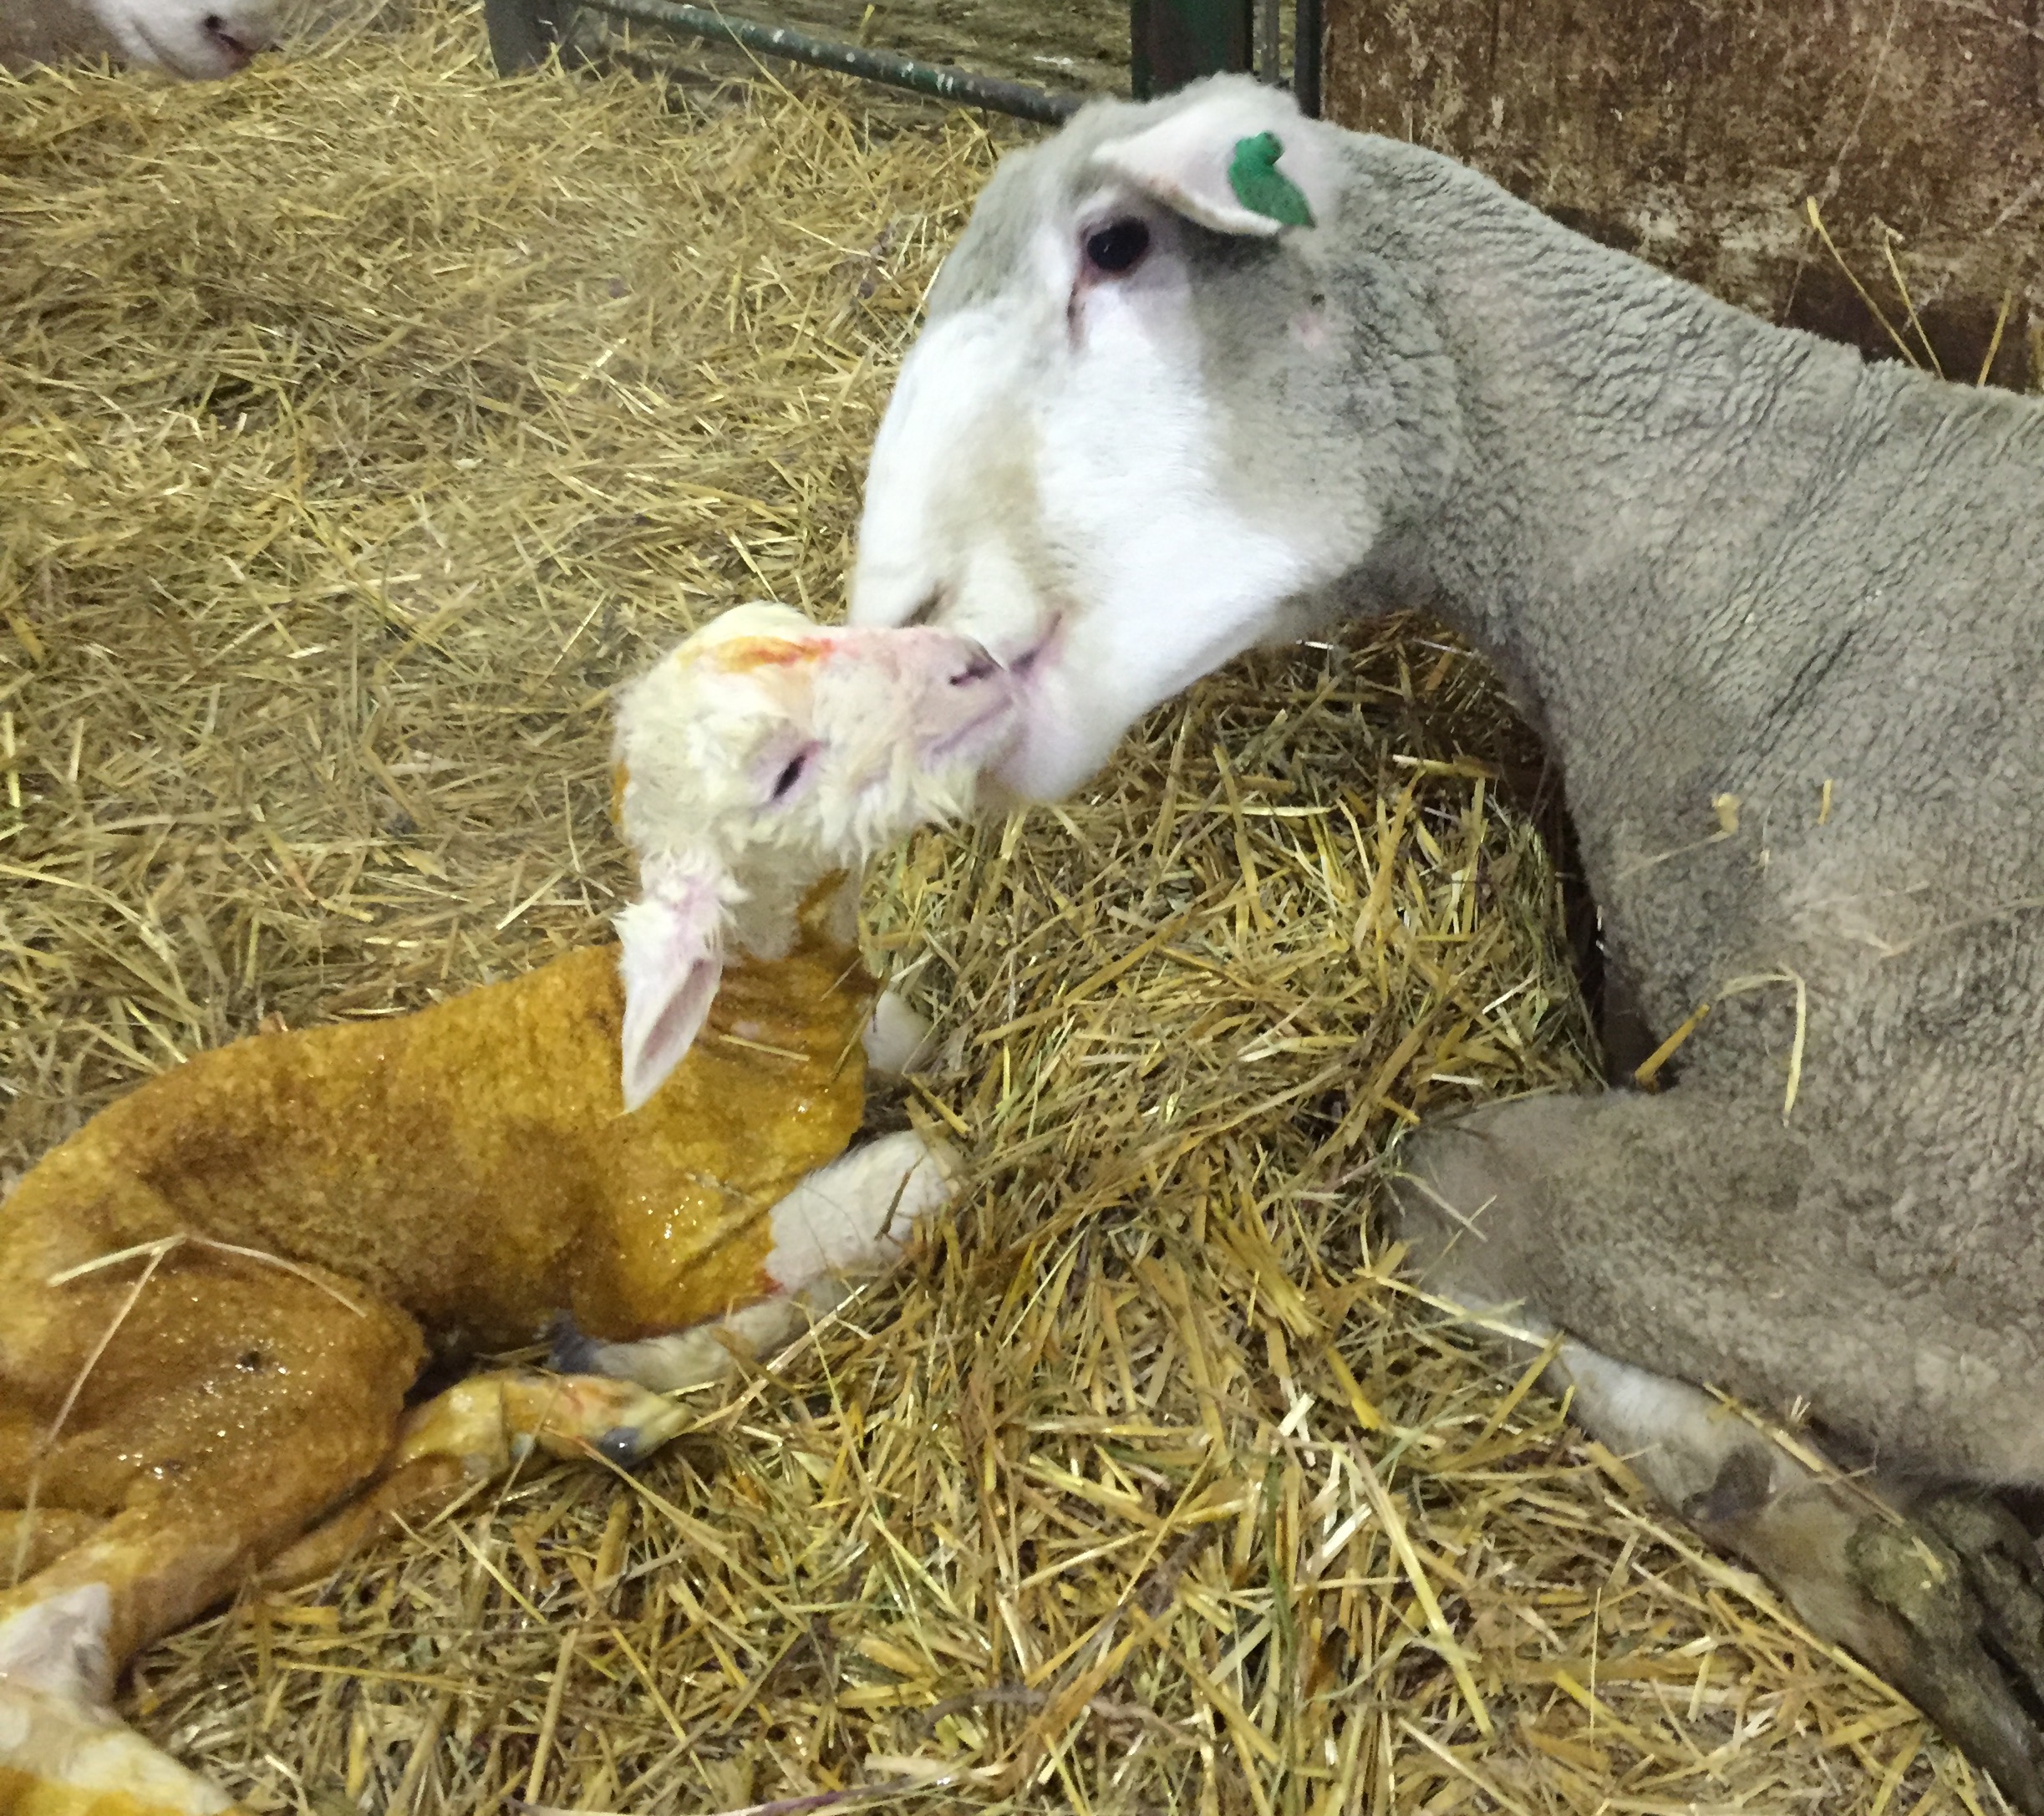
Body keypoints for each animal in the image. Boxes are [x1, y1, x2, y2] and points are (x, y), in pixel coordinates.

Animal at [0, 601, 1018, 1816]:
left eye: (802, 628)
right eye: (783, 771)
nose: (972, 662)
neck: (747, 1032)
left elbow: (911, 1040)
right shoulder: (651, 1246)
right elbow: (914, 1172)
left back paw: (573, 1417)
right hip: (235, 1351)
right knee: (49, 1629)